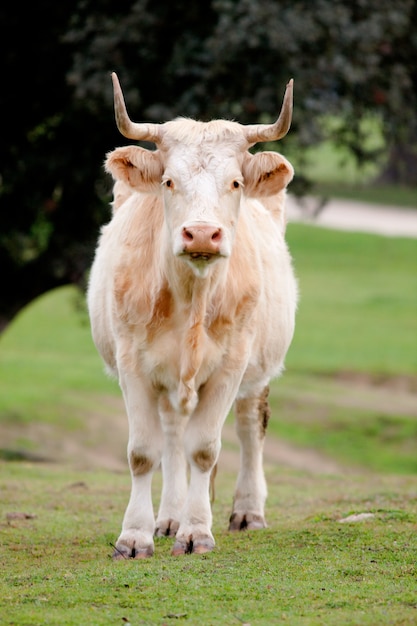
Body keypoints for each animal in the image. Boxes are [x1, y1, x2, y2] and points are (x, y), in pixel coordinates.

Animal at [87, 73, 296, 556]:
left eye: (236, 182)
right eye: (167, 181)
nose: (201, 234)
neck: (192, 296)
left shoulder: (232, 365)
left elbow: (204, 448)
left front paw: (197, 530)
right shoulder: (133, 364)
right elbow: (144, 452)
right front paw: (137, 534)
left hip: (257, 371)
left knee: (250, 426)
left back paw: (247, 510)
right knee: (172, 433)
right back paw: (168, 516)